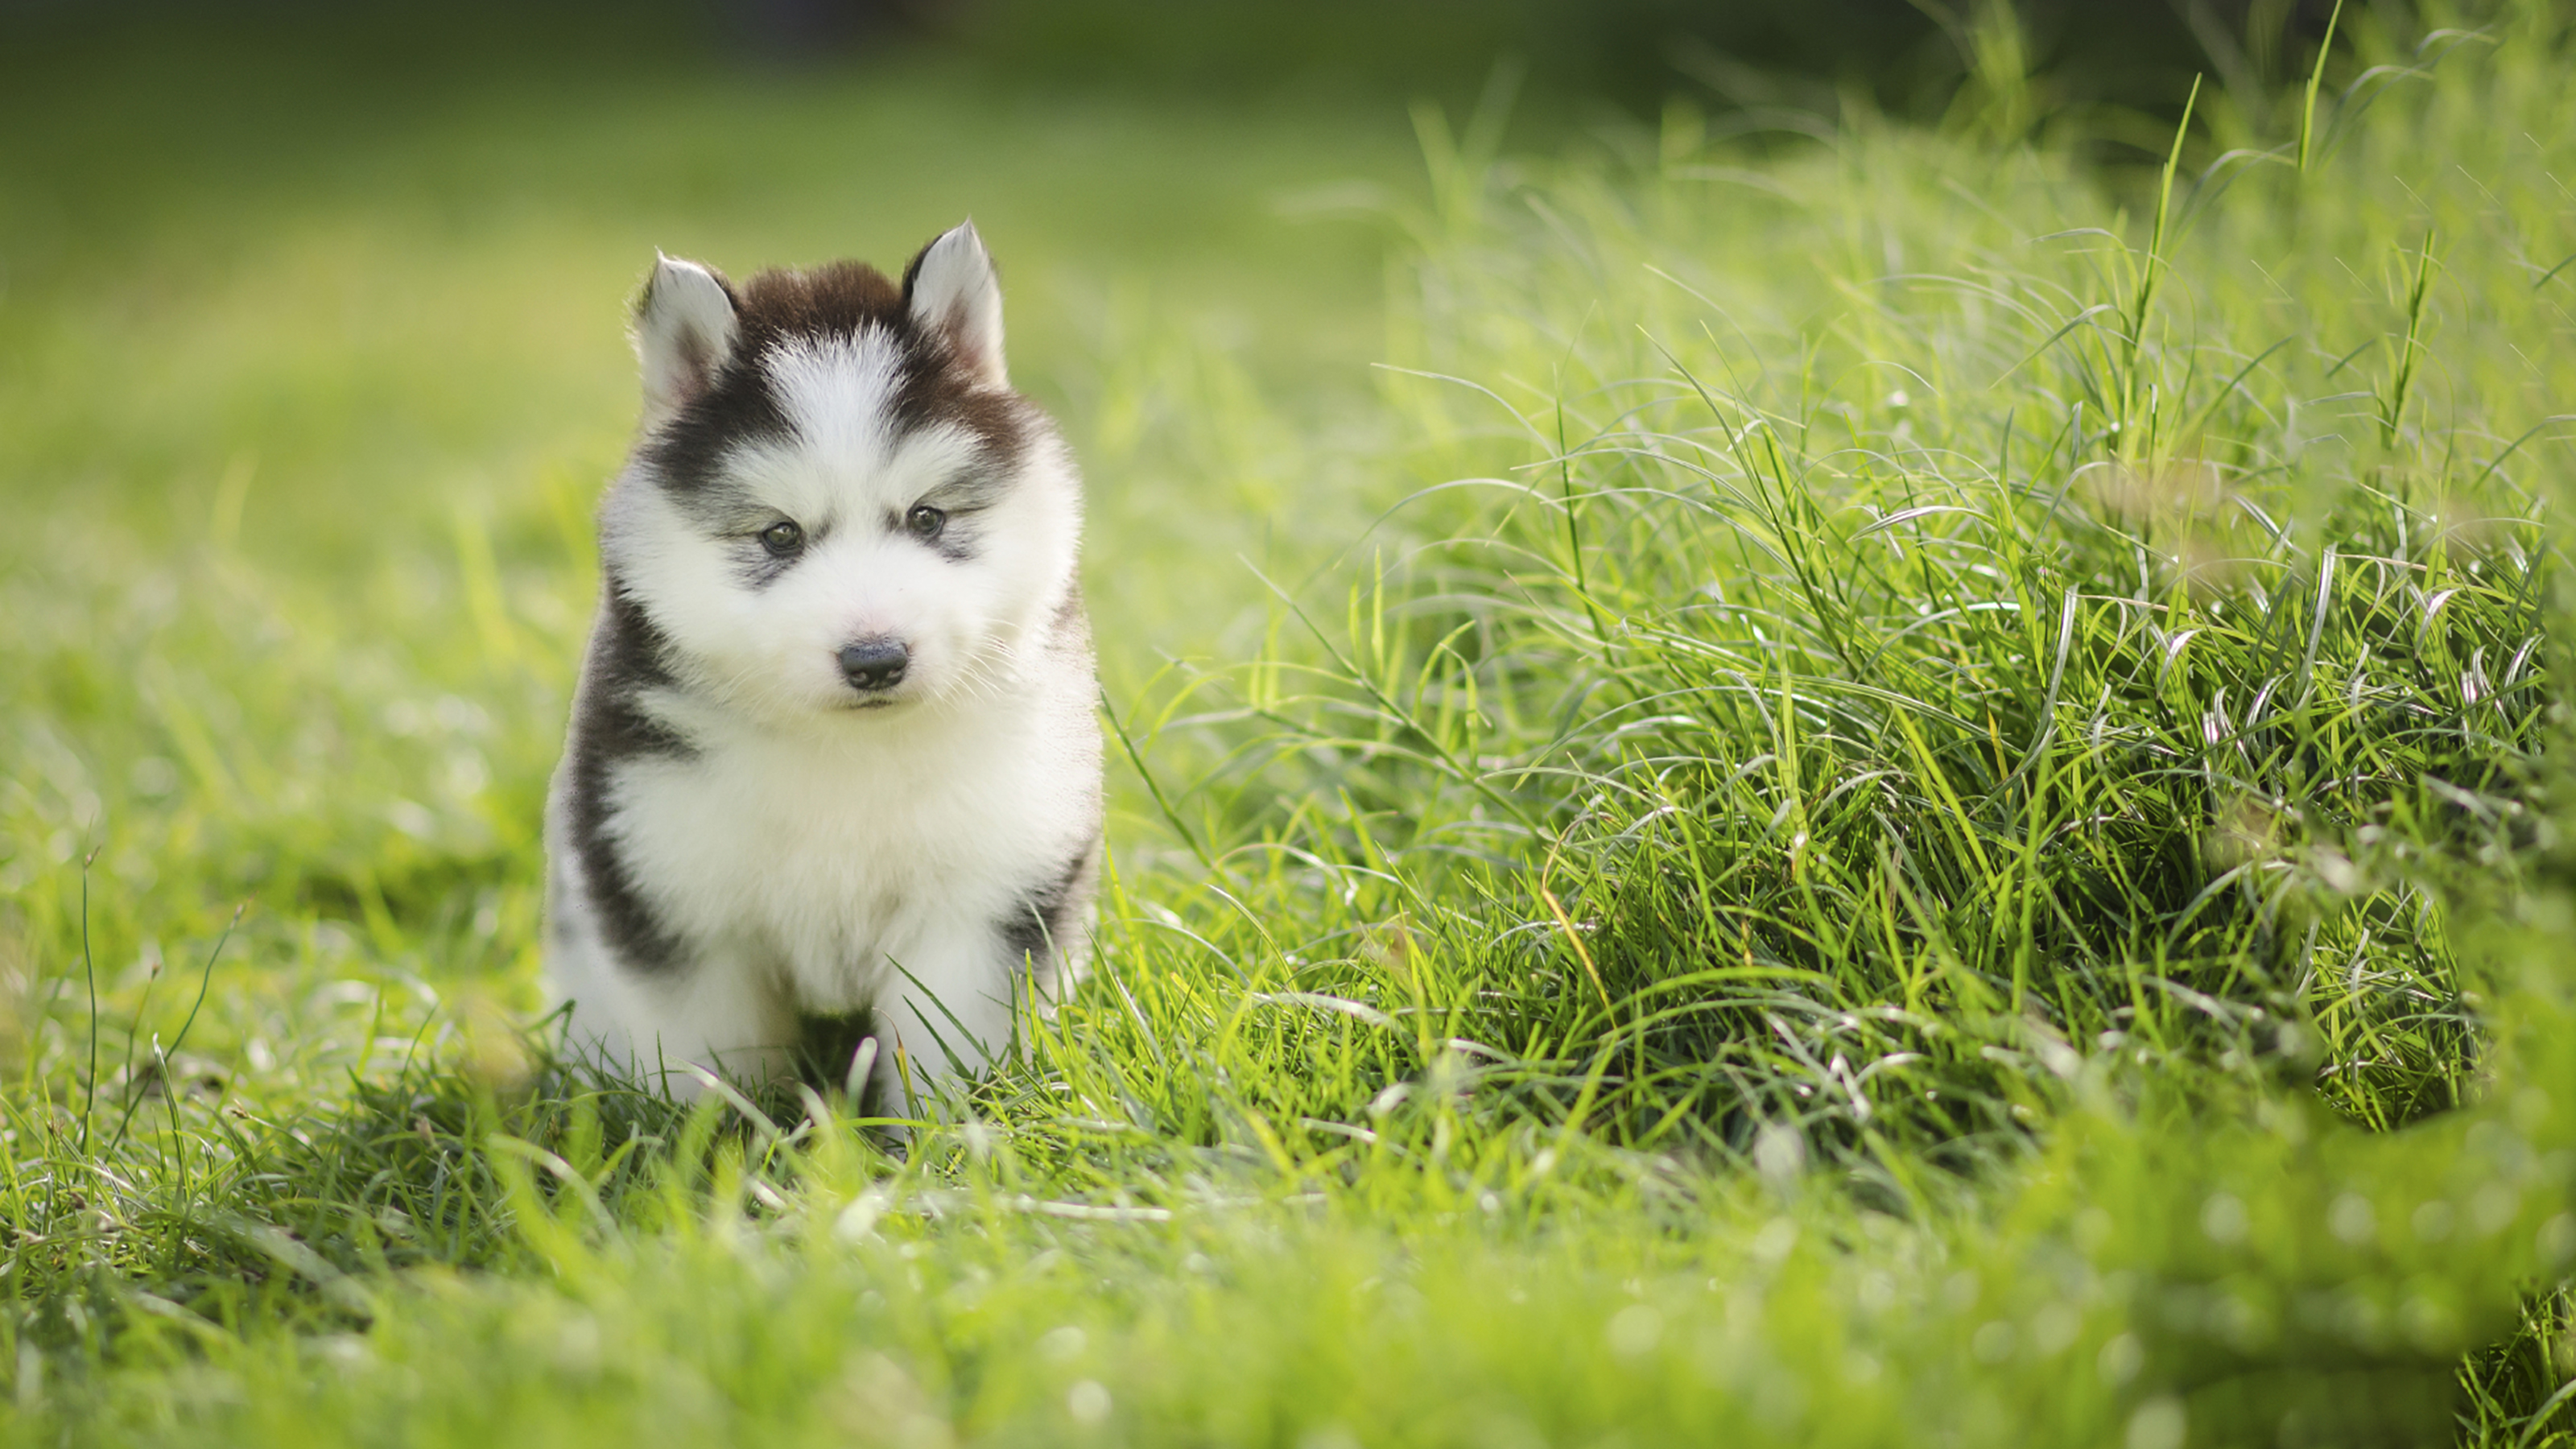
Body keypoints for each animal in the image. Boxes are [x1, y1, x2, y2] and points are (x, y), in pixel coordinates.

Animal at [543, 225, 1097, 1098]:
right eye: (779, 536)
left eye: (927, 518)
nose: (875, 660)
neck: (849, 755)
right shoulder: (674, 895)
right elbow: (713, 1061)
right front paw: (718, 1129)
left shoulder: (982, 896)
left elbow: (946, 1048)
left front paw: (949, 1129)